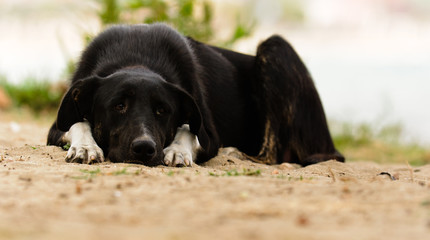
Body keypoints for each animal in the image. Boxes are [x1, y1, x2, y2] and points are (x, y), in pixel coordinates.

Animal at [47, 23, 344, 167]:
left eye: (162, 110)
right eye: (118, 106)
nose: (144, 149)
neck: (136, 58)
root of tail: (329, 144)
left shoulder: (209, 133)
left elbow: (190, 129)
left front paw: (178, 151)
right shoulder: (56, 128)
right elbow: (77, 122)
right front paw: (86, 146)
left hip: (275, 47)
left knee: (272, 154)